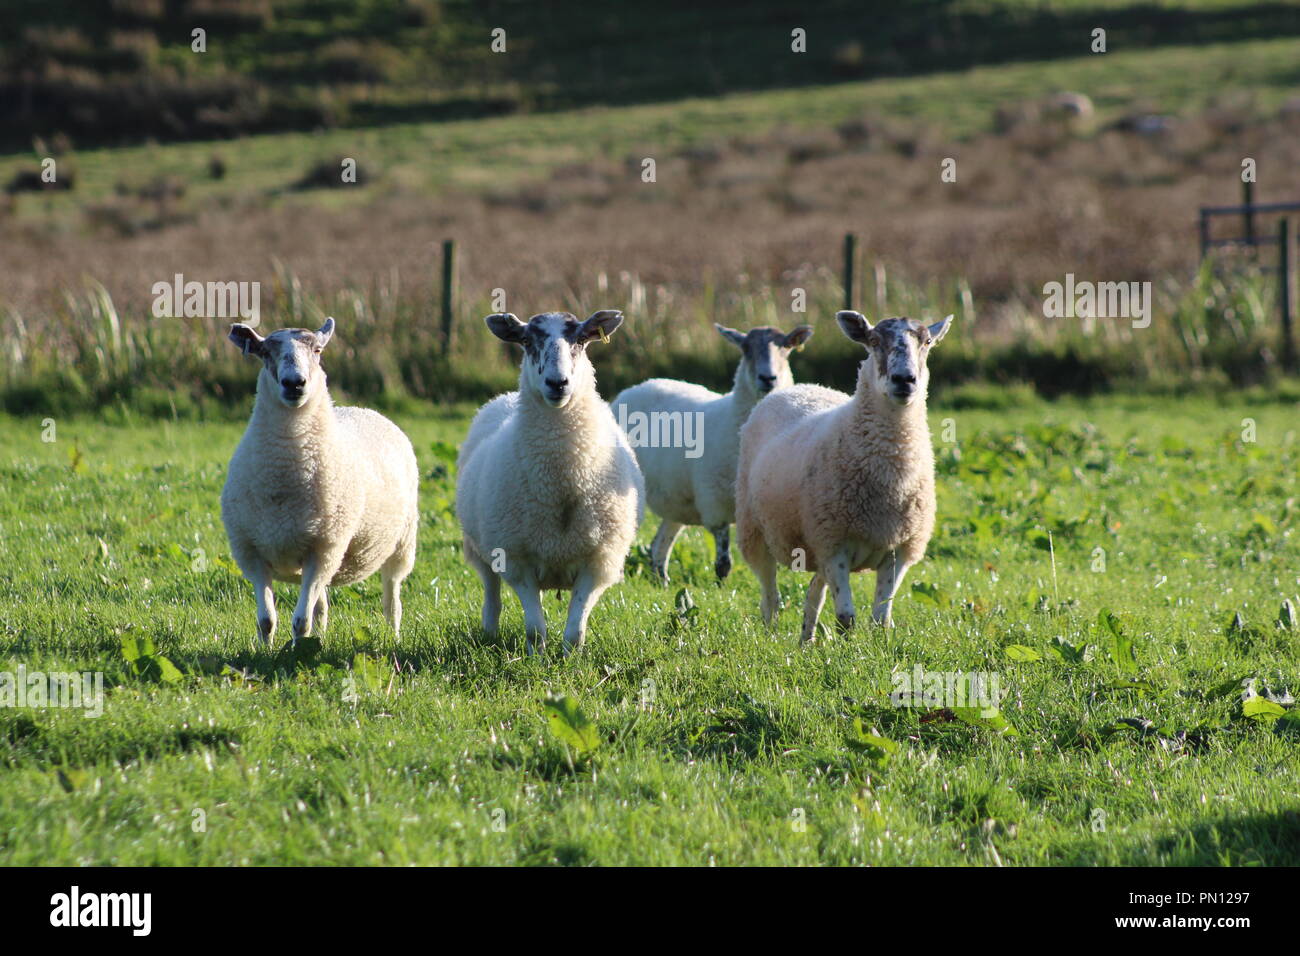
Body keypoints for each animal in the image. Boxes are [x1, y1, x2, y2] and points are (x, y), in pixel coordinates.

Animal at [220, 317, 418, 647]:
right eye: (265, 352)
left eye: (317, 350)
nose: (294, 383)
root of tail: (360, 408)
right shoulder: (252, 552)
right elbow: (266, 620)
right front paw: (265, 651)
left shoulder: (324, 548)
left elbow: (300, 622)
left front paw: (297, 651)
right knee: (321, 606)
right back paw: (322, 635)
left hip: (401, 542)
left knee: (392, 600)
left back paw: (394, 636)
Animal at [454, 310, 642, 655]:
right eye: (527, 341)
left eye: (581, 340)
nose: (558, 383)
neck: (560, 480)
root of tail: (504, 397)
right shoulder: (516, 558)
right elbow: (533, 627)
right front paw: (536, 658)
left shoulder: (599, 560)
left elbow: (575, 627)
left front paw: (570, 658)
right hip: (480, 546)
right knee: (492, 593)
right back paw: (489, 633)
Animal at [611, 321, 811, 580]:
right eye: (746, 349)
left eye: (786, 347)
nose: (768, 378)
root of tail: (639, 385)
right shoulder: (715, 504)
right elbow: (724, 564)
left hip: (677, 500)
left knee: (659, 544)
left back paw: (662, 581)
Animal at [738, 314, 951, 642]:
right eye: (874, 341)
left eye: (927, 342)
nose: (904, 380)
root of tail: (800, 387)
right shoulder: (833, 544)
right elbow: (846, 618)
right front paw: (849, 649)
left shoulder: (899, 550)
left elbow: (880, 619)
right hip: (755, 529)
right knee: (769, 594)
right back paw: (771, 633)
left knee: (814, 592)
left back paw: (806, 641)